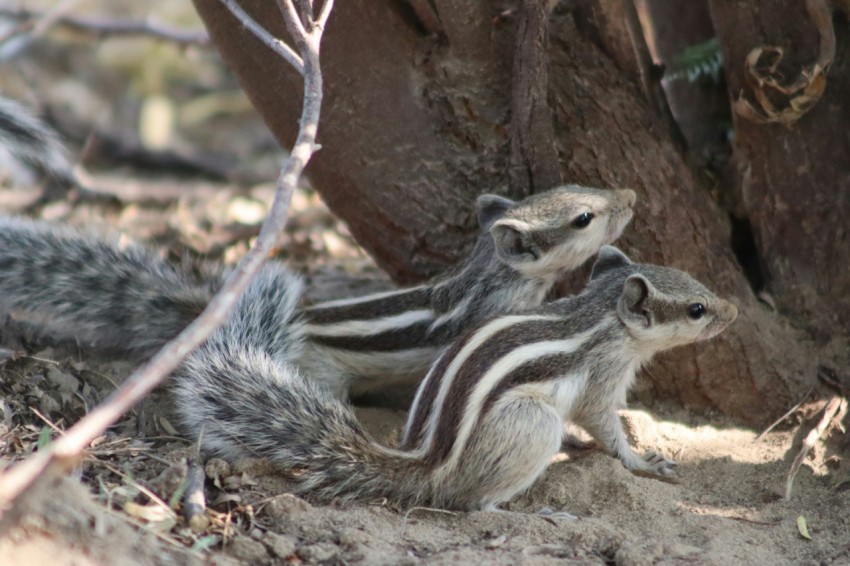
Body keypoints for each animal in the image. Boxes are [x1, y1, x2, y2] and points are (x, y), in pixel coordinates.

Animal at [174, 246, 736, 512]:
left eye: (699, 285)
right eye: (696, 308)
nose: (732, 312)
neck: (599, 314)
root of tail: (428, 464)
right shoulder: (602, 379)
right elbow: (606, 427)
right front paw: (641, 461)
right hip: (531, 425)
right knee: (474, 504)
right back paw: (532, 515)